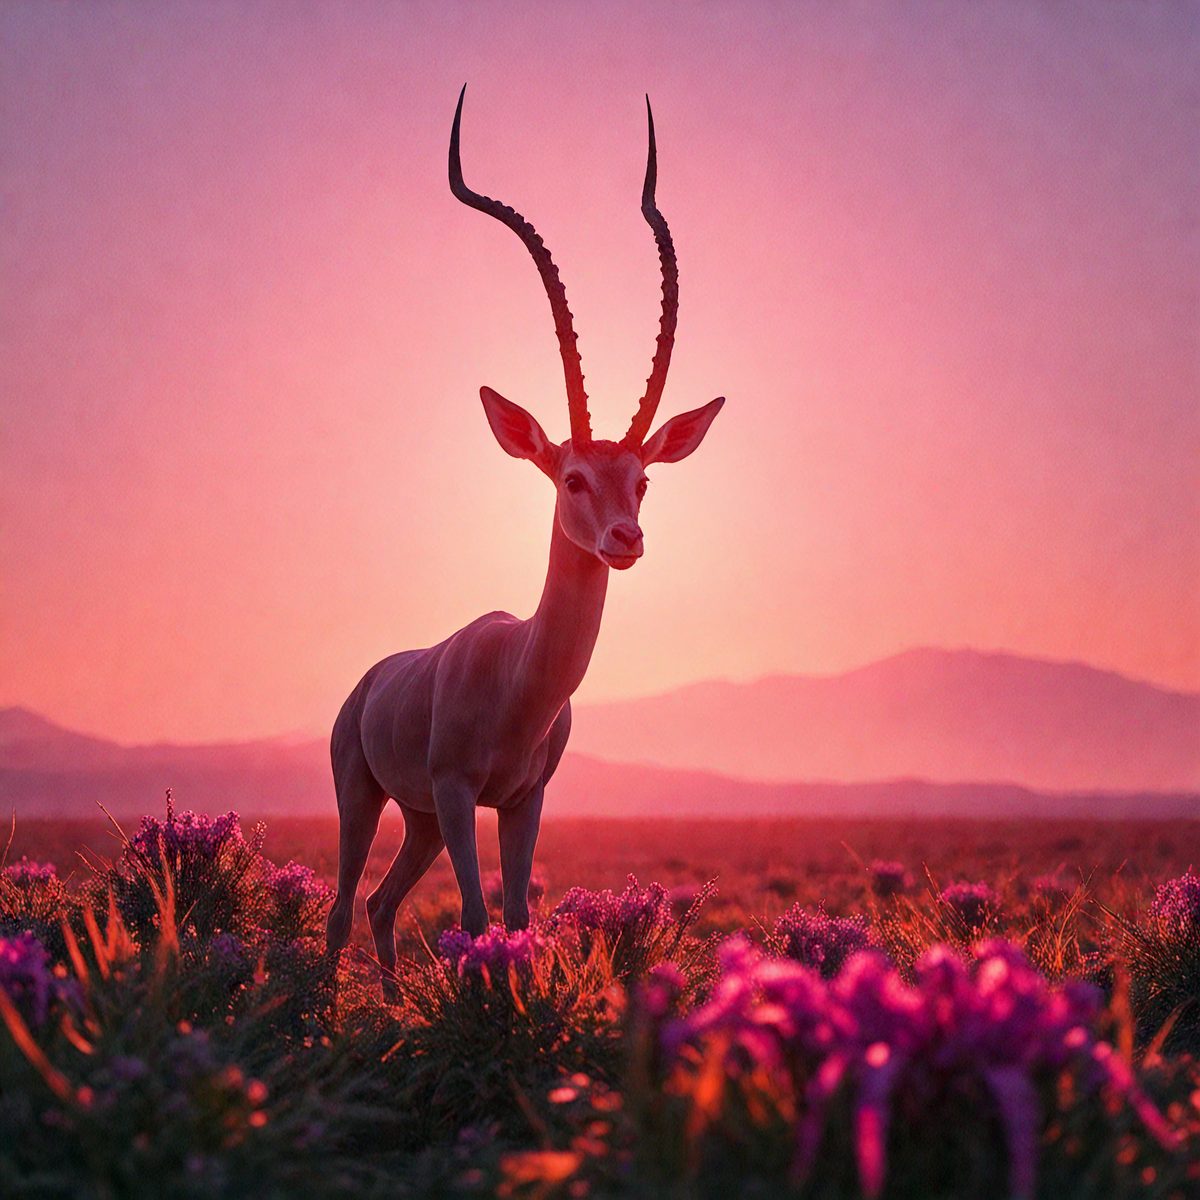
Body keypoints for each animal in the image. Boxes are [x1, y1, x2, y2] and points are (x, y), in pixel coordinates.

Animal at [326, 87, 724, 992]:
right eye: (571, 477)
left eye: (642, 479)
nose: (624, 539)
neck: (517, 679)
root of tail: (371, 680)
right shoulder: (456, 789)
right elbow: (476, 918)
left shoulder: (521, 801)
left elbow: (513, 916)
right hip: (368, 797)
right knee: (341, 908)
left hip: (420, 819)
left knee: (382, 904)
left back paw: (392, 1000)